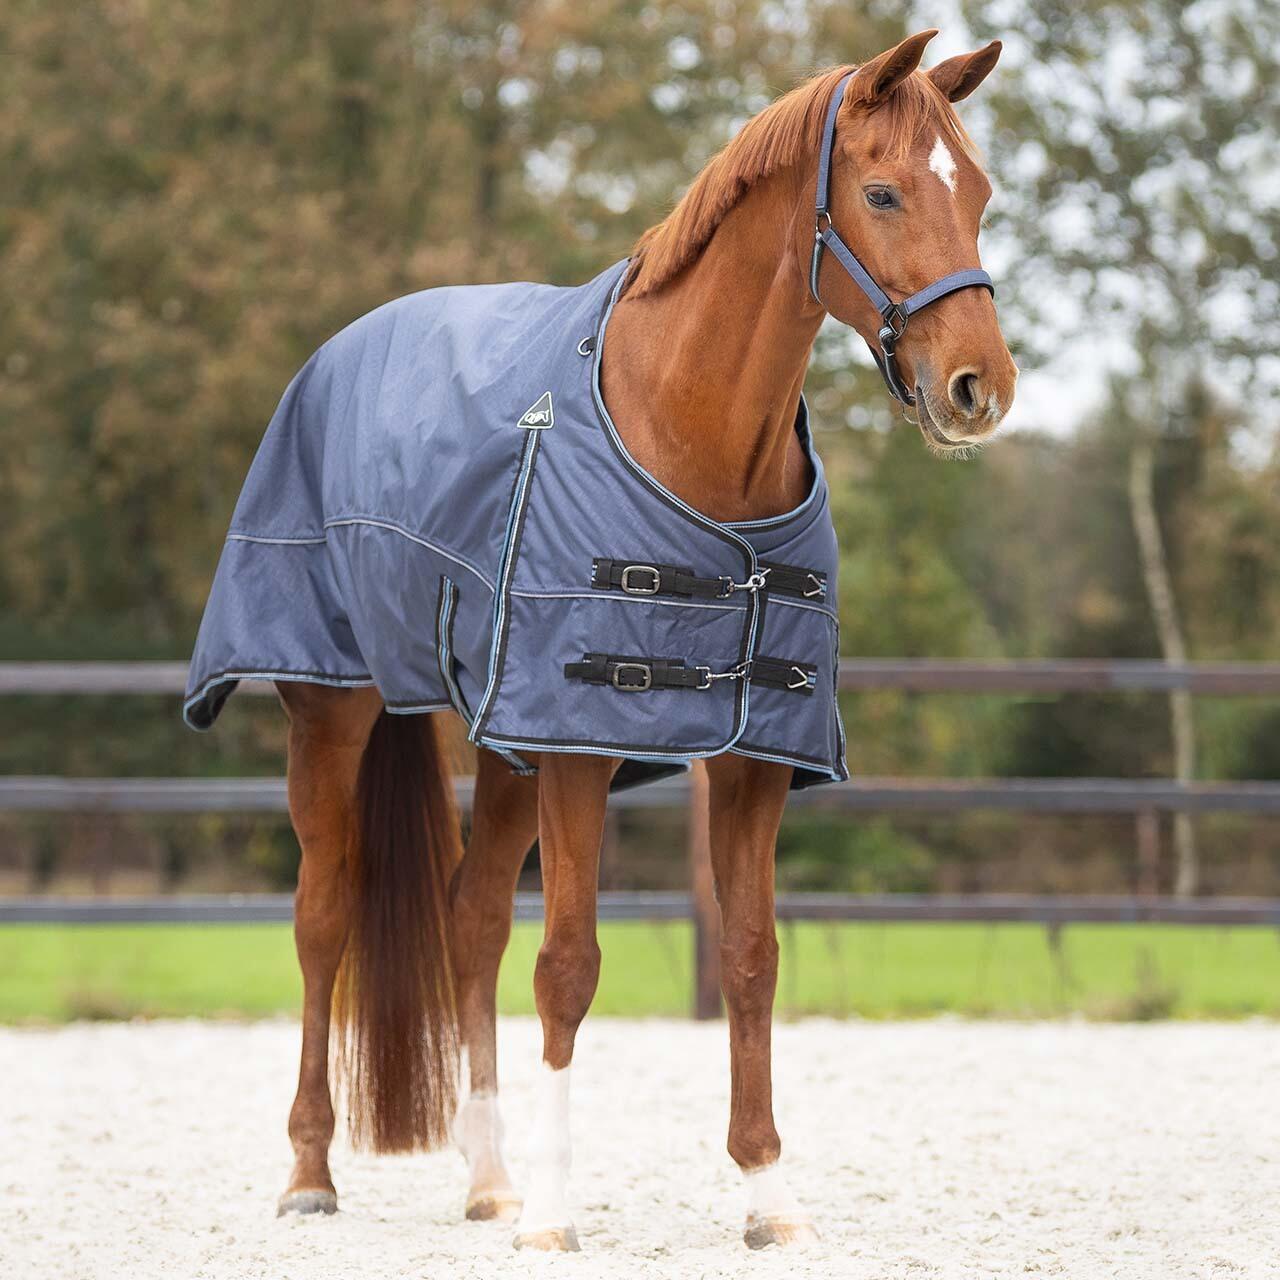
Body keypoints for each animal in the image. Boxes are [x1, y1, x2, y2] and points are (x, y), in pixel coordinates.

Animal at [189, 28, 1016, 1251]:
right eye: (882, 192)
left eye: (981, 195)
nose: (979, 387)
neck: (691, 430)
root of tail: (339, 351)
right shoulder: (579, 740)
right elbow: (570, 964)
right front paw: (557, 1213)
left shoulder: (748, 754)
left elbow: (751, 958)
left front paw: (768, 1193)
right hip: (333, 711)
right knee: (323, 916)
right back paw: (310, 1170)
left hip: (503, 741)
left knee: (471, 919)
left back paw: (489, 1178)